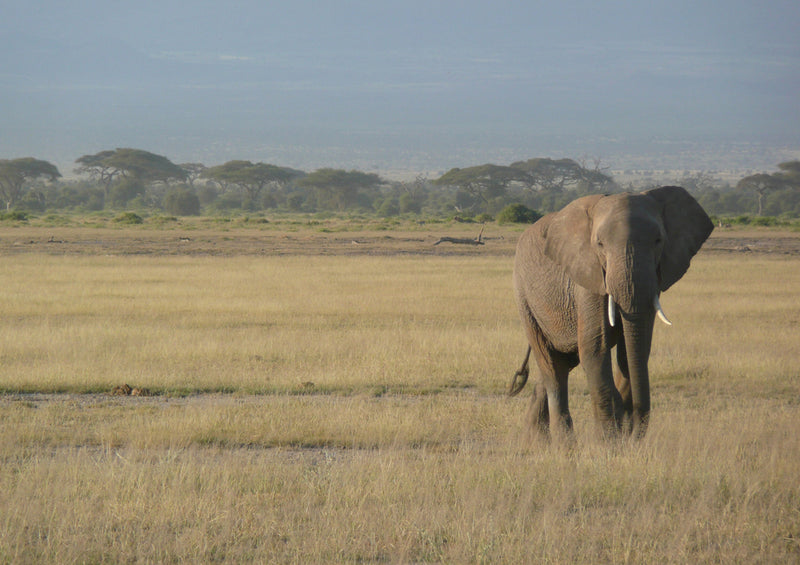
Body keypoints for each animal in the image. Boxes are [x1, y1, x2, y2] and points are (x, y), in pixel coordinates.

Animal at [506, 187, 712, 438]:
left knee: (562, 363)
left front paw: (620, 435)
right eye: (600, 244)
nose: (632, 431)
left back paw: (535, 440)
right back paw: (563, 444)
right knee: (552, 366)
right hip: (524, 297)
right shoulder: (587, 275)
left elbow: (633, 349)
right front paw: (608, 441)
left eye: (658, 241)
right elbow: (595, 347)